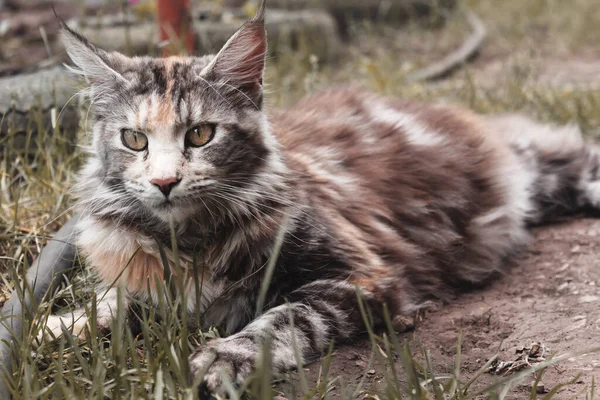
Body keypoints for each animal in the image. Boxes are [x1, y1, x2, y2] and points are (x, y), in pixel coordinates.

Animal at [42, 0, 600, 396]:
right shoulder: (146, 282)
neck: (191, 245)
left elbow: (278, 322)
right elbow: (109, 307)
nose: (163, 183)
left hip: (555, 173)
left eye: (200, 134)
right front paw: (59, 327)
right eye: (134, 140)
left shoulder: (357, 276)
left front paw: (222, 359)